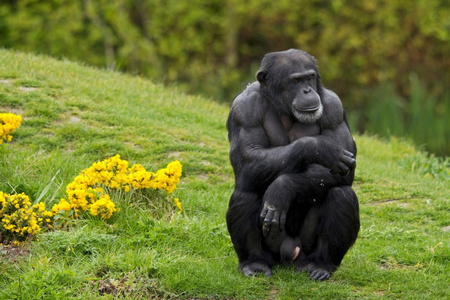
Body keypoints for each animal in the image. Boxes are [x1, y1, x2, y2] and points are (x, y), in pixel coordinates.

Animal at [227, 49, 360, 282]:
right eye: (295, 81)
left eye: (309, 78)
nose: (307, 90)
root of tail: (290, 255)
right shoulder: (244, 110)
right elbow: (248, 159)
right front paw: (318, 147)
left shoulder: (334, 108)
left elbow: (344, 173)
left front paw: (282, 188)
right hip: (273, 249)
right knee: (245, 192)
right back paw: (254, 263)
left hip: (305, 249)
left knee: (342, 194)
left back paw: (320, 265)